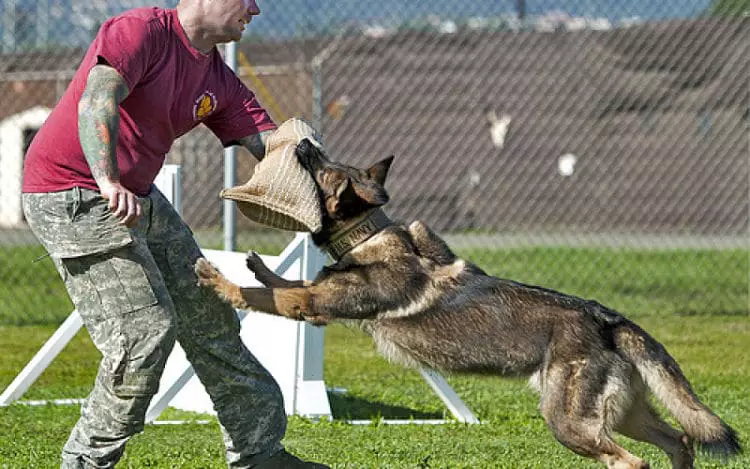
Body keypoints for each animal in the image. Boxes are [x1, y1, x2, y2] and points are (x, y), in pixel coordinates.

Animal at [197, 139, 744, 468]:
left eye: (324, 168)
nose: (306, 142)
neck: (368, 236)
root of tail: (608, 319)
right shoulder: (313, 296)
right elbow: (281, 281)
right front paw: (256, 266)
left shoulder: (313, 304)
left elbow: (272, 295)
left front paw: (219, 278)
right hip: (625, 413)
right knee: (681, 440)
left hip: (568, 422)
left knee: (633, 460)